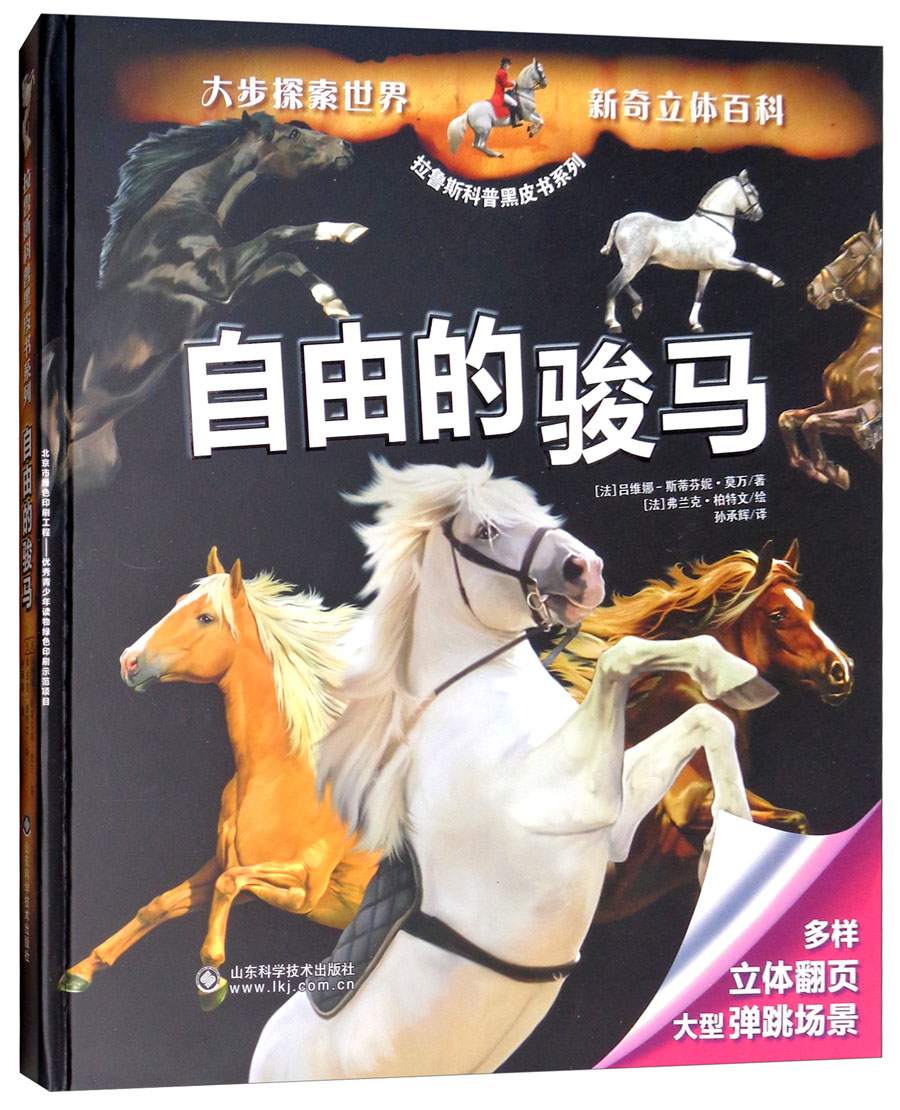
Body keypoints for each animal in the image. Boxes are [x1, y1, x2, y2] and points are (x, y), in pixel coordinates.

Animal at [51, 111, 367, 489]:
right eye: (293, 133)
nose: (346, 147)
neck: (182, 210)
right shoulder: (219, 277)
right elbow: (280, 233)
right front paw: (346, 230)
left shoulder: (227, 294)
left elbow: (285, 256)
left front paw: (331, 302)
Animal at [59, 548, 379, 1009]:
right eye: (178, 603)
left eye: (205, 617)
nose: (128, 661)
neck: (282, 777)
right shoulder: (224, 866)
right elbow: (159, 905)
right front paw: (81, 971)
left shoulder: (303, 888)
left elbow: (227, 887)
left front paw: (212, 979)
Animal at [250, 459, 773, 1081]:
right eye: (486, 531)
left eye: (534, 510)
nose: (586, 570)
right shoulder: (567, 797)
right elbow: (620, 658)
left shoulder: (613, 822)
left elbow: (704, 718)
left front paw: (729, 838)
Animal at [601, 171, 783, 333]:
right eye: (752, 192)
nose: (759, 214)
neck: (714, 223)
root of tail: (621, 221)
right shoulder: (724, 261)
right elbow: (751, 266)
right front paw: (776, 279)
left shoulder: (707, 269)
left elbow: (699, 294)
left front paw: (695, 324)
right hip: (634, 263)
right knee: (613, 287)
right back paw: (613, 323)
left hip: (635, 263)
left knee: (624, 284)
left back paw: (637, 307)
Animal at [779, 213, 882, 490]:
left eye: (853, 255)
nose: (812, 290)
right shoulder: (833, 404)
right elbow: (789, 419)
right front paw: (818, 470)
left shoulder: (870, 409)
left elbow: (812, 423)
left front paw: (834, 472)